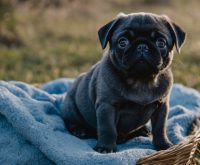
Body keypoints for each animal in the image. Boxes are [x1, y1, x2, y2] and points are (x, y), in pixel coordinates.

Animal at [62, 12, 186, 153]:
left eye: (161, 42)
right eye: (122, 42)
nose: (142, 46)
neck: (141, 81)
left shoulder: (161, 106)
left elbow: (160, 128)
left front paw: (163, 145)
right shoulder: (107, 106)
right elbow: (108, 128)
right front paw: (106, 147)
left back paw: (143, 130)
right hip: (71, 107)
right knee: (69, 121)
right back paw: (79, 130)